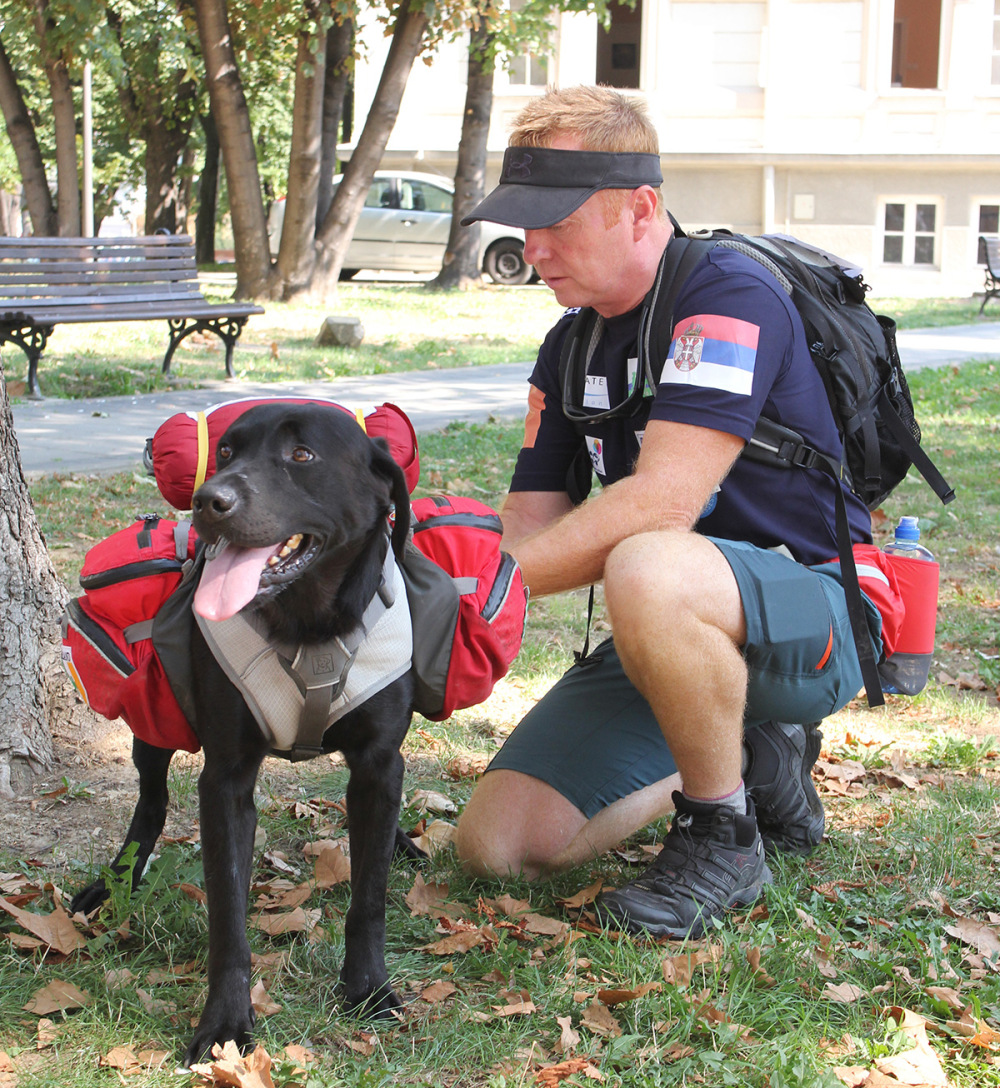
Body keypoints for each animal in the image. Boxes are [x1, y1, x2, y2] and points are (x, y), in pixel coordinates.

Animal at [70, 404, 420, 1066]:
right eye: (227, 452)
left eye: (302, 455)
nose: (209, 501)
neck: (308, 626)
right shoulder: (226, 780)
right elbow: (228, 915)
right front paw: (225, 1024)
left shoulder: (379, 764)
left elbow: (369, 897)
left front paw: (367, 988)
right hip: (153, 732)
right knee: (151, 803)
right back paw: (112, 882)